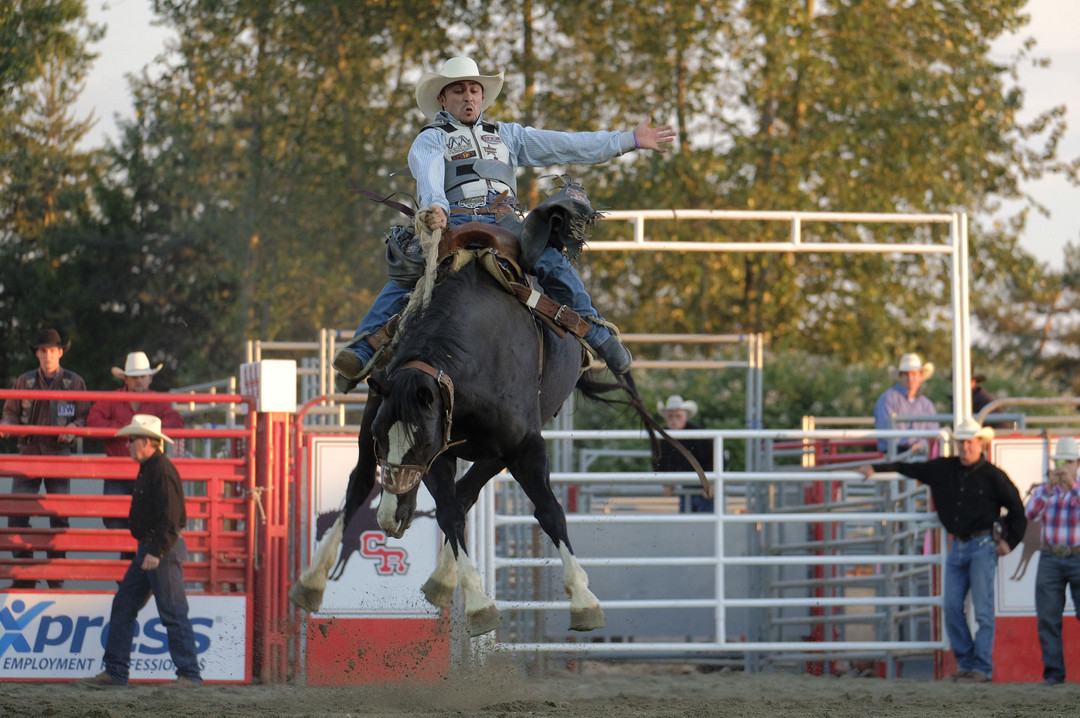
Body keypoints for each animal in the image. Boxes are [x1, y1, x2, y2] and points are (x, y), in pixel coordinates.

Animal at [289, 179, 708, 634]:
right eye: (390, 442)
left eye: (418, 443)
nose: (389, 520)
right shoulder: (436, 448)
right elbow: (448, 513)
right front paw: (478, 603)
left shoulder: (516, 443)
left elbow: (547, 511)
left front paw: (583, 599)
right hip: (373, 417)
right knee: (360, 485)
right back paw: (313, 582)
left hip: (498, 447)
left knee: (466, 492)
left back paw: (439, 579)